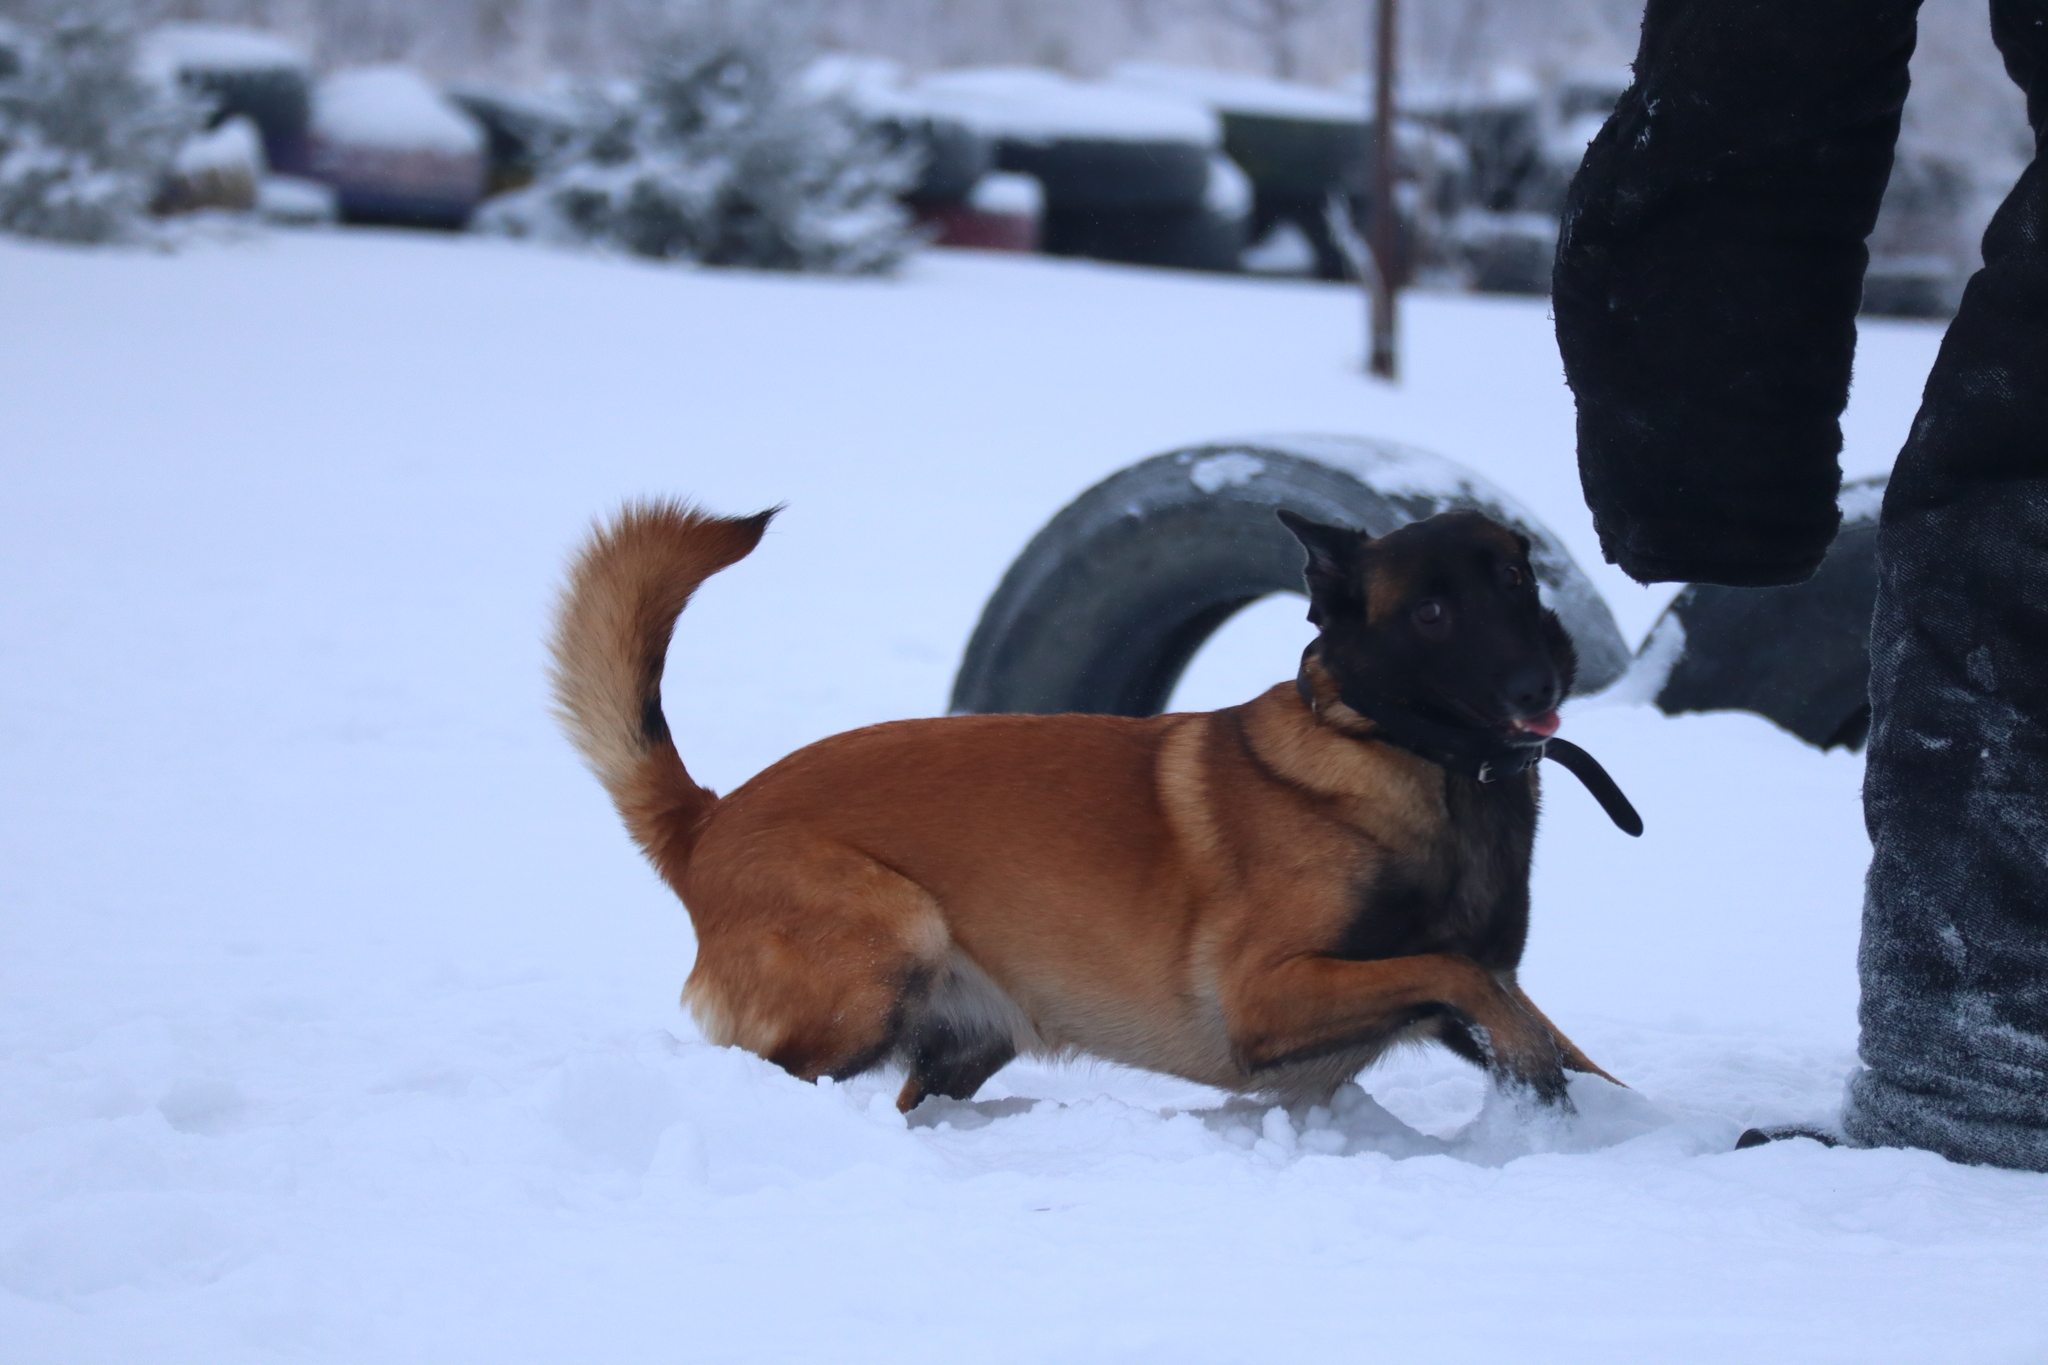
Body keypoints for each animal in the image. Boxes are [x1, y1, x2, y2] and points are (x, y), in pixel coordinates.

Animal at [552, 499, 1622, 1113]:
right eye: (1432, 613)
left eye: (1516, 580)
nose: (1538, 684)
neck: (1402, 754)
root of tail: (708, 817)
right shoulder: (1266, 995)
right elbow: (1462, 973)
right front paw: (1534, 1062)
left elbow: (1515, 1007)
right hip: (887, 938)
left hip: (966, 1035)